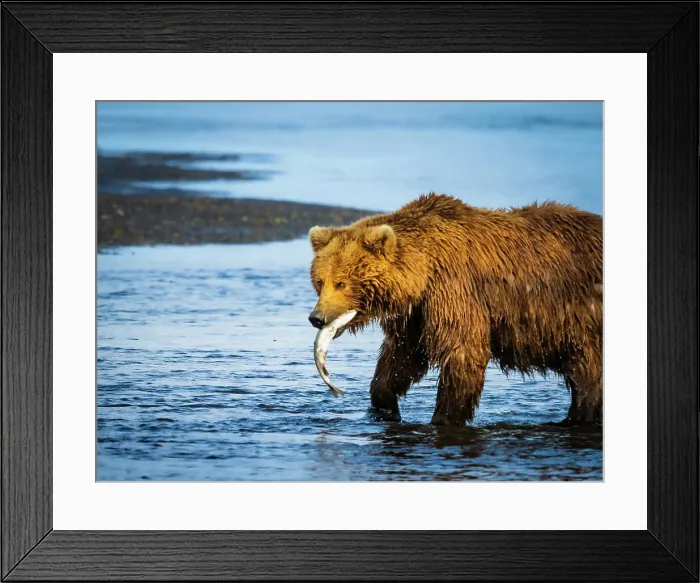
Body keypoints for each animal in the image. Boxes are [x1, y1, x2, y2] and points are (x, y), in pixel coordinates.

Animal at [308, 192, 602, 427]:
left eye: (342, 282)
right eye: (320, 281)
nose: (316, 318)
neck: (423, 273)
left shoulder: (456, 289)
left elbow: (462, 351)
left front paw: (443, 418)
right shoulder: (417, 315)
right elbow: (401, 358)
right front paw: (383, 406)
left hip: (581, 319)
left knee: (588, 375)